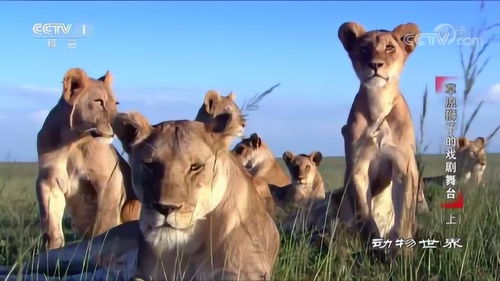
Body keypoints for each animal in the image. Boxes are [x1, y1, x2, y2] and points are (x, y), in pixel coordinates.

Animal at [36, 68, 140, 247]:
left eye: (116, 103)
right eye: (99, 101)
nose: (119, 123)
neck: (72, 142)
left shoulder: (109, 179)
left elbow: (105, 222)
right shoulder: (48, 180)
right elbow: (51, 223)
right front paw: (52, 249)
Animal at [338, 21, 424, 240]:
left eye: (390, 48)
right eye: (364, 48)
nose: (375, 65)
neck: (378, 99)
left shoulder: (404, 165)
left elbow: (403, 214)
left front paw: (402, 247)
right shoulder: (357, 166)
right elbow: (364, 212)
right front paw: (373, 240)